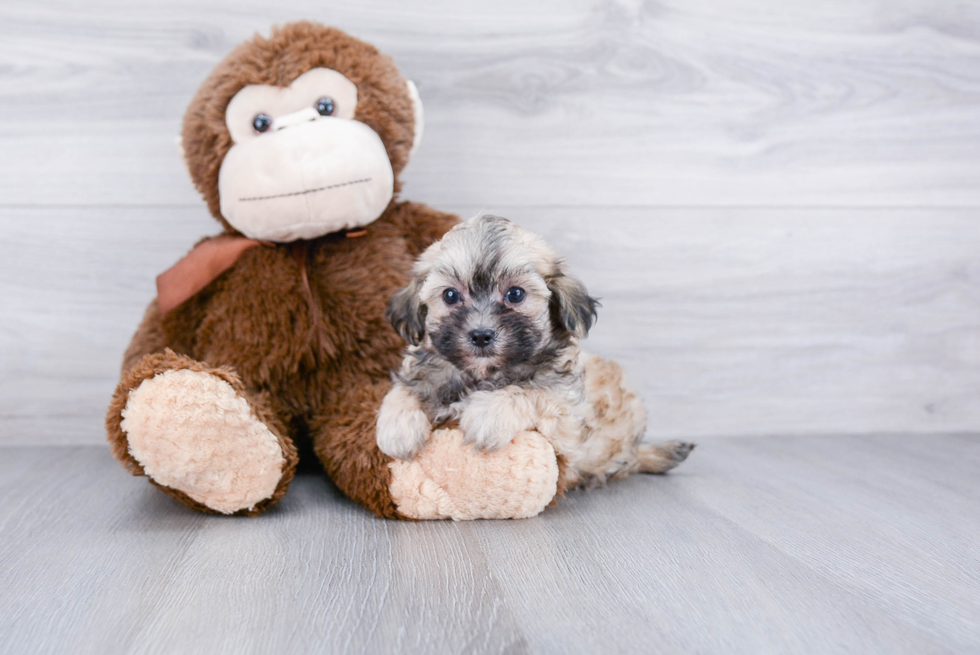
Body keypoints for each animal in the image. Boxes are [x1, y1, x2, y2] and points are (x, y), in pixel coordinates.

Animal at [378, 217, 696, 492]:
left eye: (516, 294)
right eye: (450, 295)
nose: (481, 335)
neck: (482, 375)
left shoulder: (568, 422)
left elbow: (531, 392)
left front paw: (489, 412)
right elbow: (402, 390)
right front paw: (397, 426)